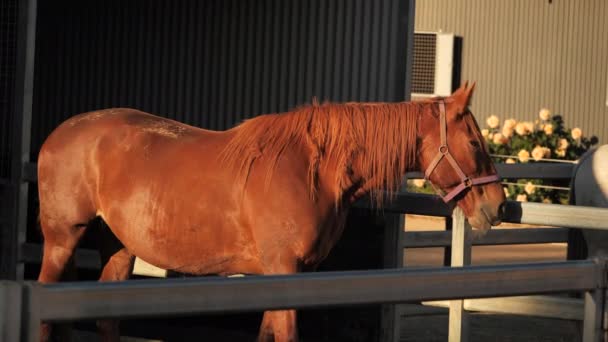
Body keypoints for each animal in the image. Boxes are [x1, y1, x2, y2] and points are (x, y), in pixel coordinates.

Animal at [35, 82, 506, 340]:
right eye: (474, 142)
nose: (497, 205)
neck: (311, 168)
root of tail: (57, 135)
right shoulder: (284, 268)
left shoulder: (281, 276)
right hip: (62, 240)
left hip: (118, 247)